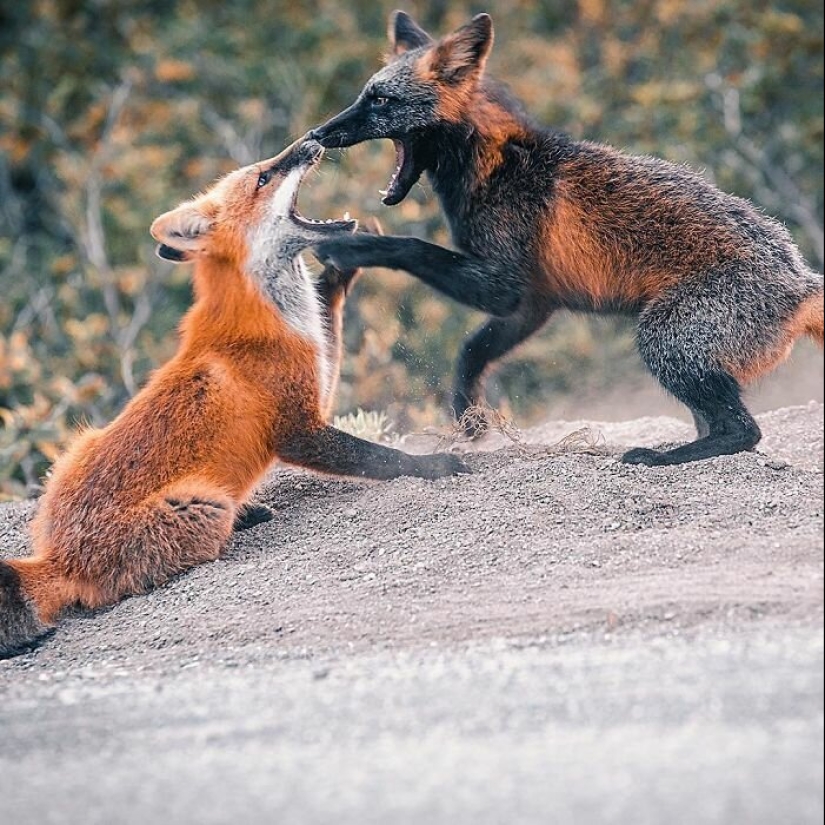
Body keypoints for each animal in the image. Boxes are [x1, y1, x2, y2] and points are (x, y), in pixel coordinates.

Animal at [0, 138, 470, 660]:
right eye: (264, 177)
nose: (313, 139)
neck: (268, 317)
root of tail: (56, 558)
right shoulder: (298, 427)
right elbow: (380, 457)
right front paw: (436, 465)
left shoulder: (314, 373)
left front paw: (342, 266)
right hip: (200, 505)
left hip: (76, 447)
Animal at [310, 11, 824, 464]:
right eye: (365, 95)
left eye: (380, 101)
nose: (317, 132)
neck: (496, 167)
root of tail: (800, 280)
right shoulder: (533, 303)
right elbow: (470, 353)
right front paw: (470, 421)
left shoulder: (504, 286)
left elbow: (412, 248)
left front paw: (349, 247)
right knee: (723, 425)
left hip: (661, 340)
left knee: (743, 431)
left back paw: (663, 457)